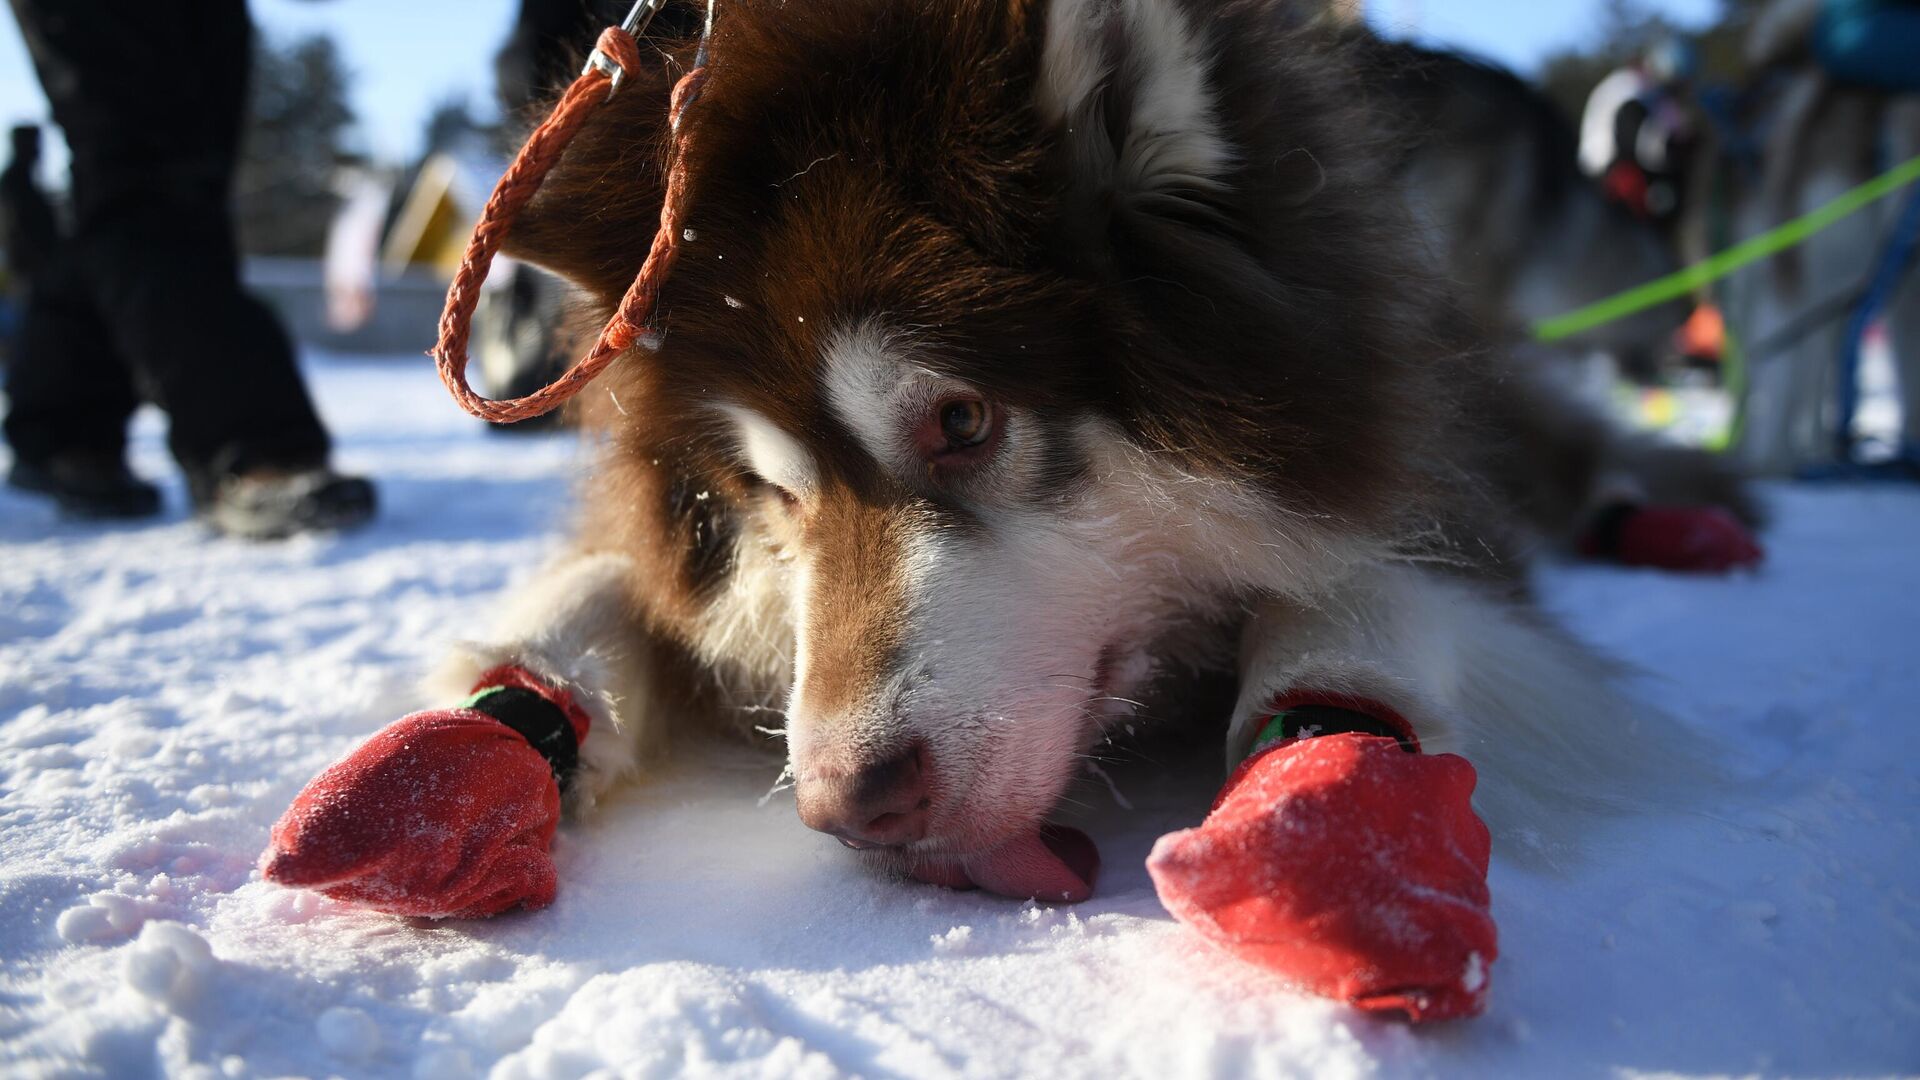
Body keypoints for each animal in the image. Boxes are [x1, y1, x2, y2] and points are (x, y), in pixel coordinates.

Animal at [416, 0, 1743, 891]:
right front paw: (506, 705)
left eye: (962, 420)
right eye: (768, 491)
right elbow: (612, 585)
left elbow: (1357, 594)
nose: (845, 808)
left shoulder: (1410, 480)